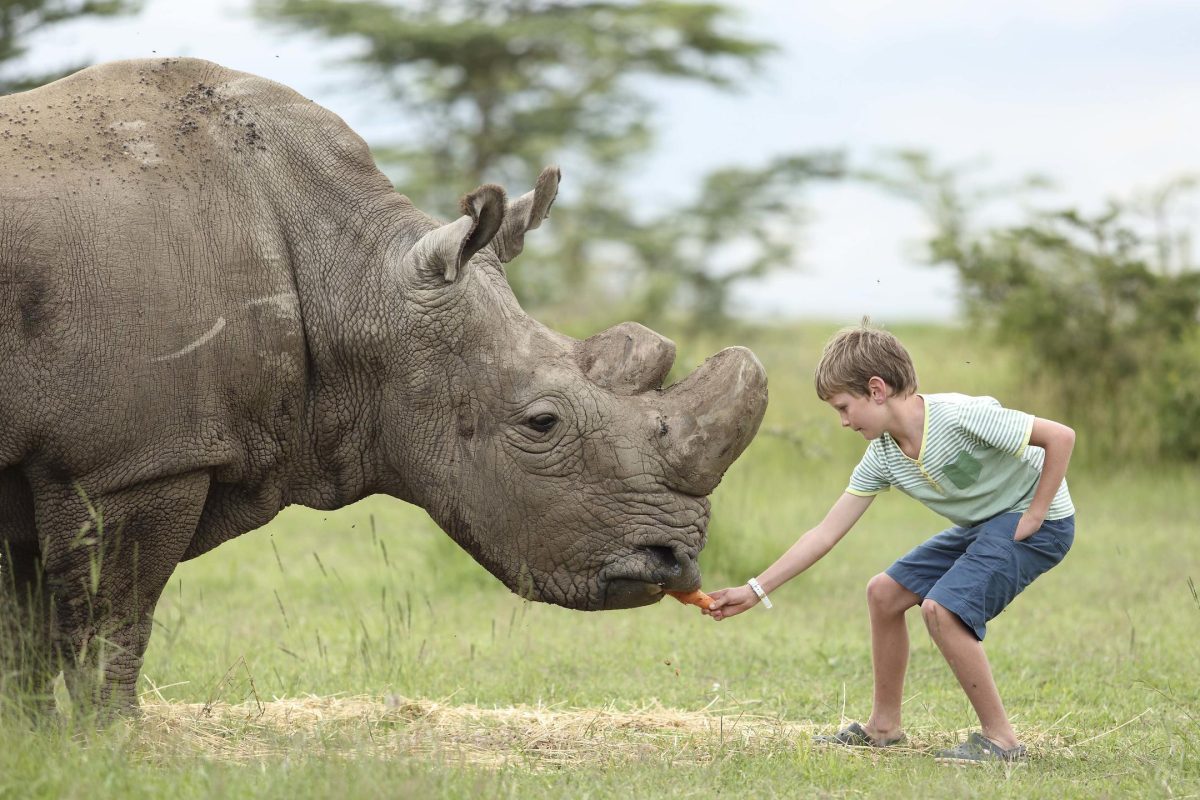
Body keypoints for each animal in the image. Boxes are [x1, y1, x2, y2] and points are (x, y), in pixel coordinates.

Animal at [0, 58, 767, 712]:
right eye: (541, 423)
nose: (675, 561)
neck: (351, 272)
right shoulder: (131, 461)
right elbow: (112, 624)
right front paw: (113, 743)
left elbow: (24, 635)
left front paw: (40, 742)